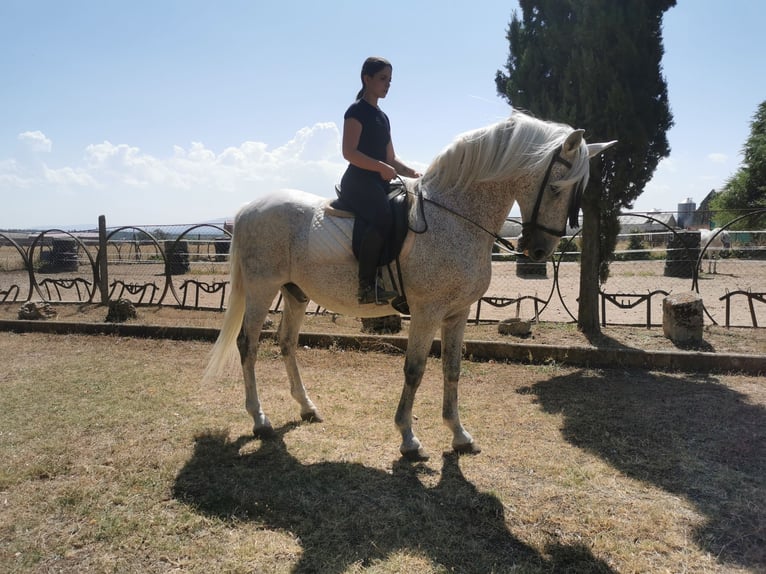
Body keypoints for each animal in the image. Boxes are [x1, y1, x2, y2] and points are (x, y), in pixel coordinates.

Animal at [205, 111, 616, 461]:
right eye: (557, 188)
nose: (540, 249)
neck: (455, 216)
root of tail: (248, 209)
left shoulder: (457, 313)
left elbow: (452, 368)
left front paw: (459, 435)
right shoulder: (426, 312)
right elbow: (415, 369)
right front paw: (408, 438)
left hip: (295, 293)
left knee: (286, 343)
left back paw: (306, 407)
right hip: (262, 289)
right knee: (248, 345)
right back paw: (259, 419)